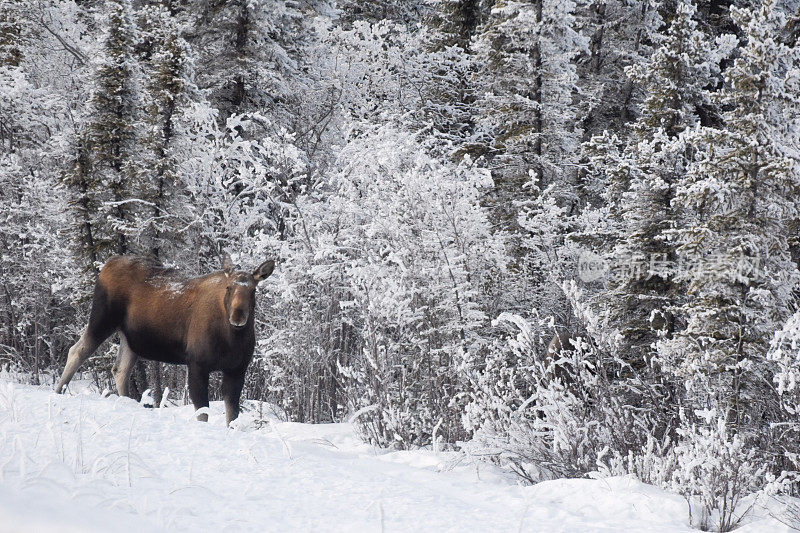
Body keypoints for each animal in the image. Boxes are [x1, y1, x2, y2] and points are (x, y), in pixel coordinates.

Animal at [55, 254, 276, 424]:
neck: (232, 340)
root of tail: (108, 264)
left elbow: (232, 417)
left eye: (253, 290)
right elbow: (202, 413)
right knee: (77, 350)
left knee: (119, 369)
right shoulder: (197, 364)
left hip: (129, 338)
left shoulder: (237, 370)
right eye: (229, 288)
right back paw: (58, 390)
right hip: (103, 319)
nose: (238, 317)